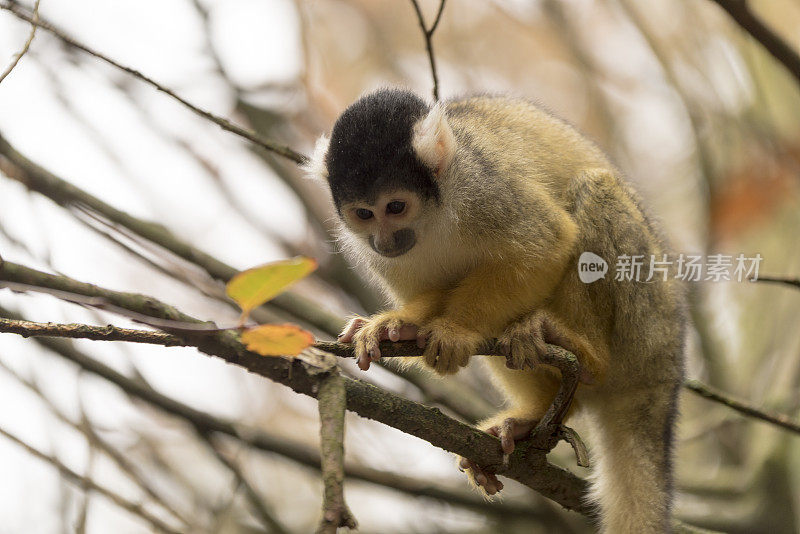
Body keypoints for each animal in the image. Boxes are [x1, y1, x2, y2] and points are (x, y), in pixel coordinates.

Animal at [306, 90, 688, 532]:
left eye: (396, 206)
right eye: (364, 214)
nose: (384, 241)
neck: (434, 215)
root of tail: (666, 373)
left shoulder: (484, 186)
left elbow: (546, 243)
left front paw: (456, 330)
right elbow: (433, 290)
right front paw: (398, 327)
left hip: (646, 322)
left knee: (593, 191)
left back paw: (585, 353)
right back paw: (533, 417)